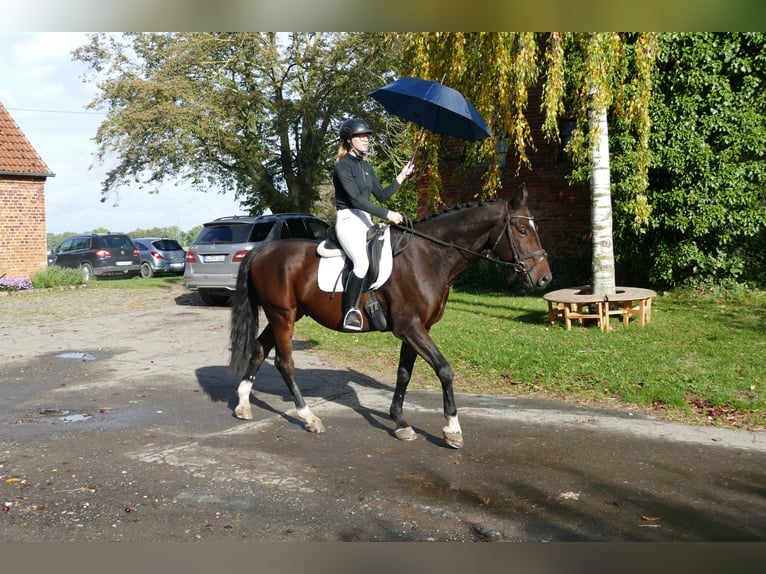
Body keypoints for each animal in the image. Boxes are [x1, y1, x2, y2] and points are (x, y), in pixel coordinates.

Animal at [228, 184, 552, 450]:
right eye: (522, 231)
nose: (545, 278)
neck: (428, 256)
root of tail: (262, 250)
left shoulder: (417, 329)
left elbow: (404, 375)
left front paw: (400, 423)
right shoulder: (411, 327)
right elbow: (445, 370)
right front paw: (452, 429)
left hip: (284, 316)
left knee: (259, 350)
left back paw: (243, 406)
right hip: (283, 317)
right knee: (285, 364)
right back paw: (309, 417)